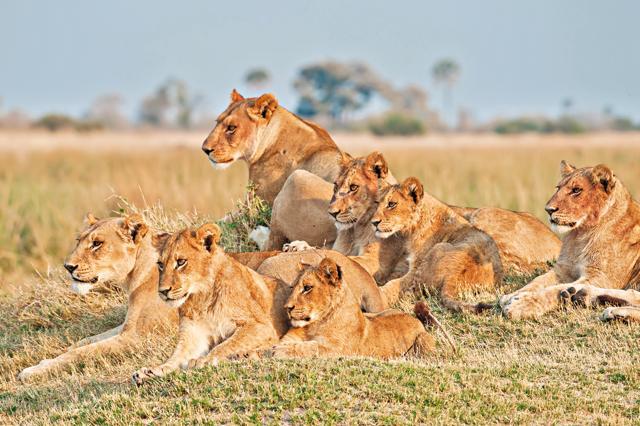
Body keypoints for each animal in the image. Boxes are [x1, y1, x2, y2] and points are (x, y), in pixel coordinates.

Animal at [18, 213, 178, 381]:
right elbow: (86, 341)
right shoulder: (127, 326)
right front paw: (52, 356)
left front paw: (33, 371)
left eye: (97, 244)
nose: (68, 267)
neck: (135, 274)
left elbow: (81, 352)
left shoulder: (137, 337)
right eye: (78, 241)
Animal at [252, 258, 440, 359]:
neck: (314, 325)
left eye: (307, 288)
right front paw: (263, 351)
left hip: (423, 341)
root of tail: (415, 319)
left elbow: (311, 347)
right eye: (292, 287)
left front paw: (279, 351)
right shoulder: (290, 338)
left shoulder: (337, 350)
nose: (287, 307)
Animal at [371, 177, 503, 312]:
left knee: (412, 291)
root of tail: (453, 277)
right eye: (377, 203)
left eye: (392, 204)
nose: (373, 222)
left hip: (436, 250)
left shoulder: (415, 266)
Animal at [500, 161, 640, 320]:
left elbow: (554, 289)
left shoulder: (601, 277)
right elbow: (537, 281)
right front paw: (512, 295)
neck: (581, 235)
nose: (548, 209)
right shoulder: (563, 269)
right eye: (558, 188)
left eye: (576, 190)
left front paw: (522, 304)